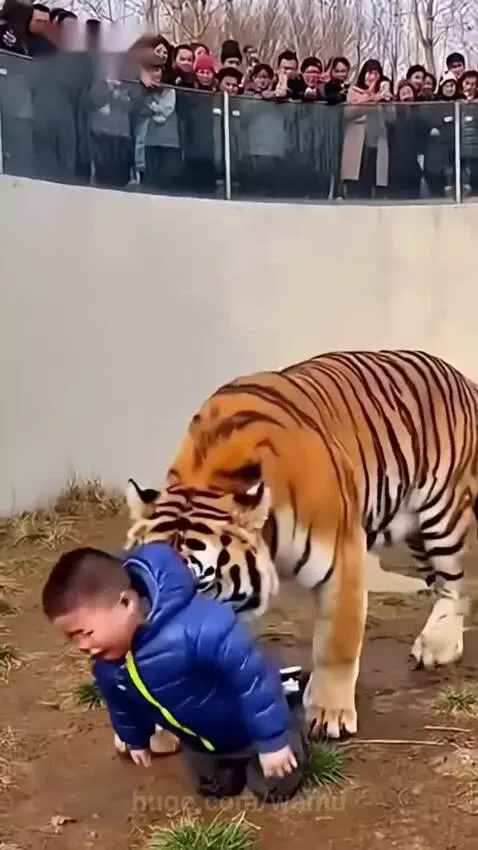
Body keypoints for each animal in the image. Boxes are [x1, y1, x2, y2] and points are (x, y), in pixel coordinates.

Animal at [124, 349, 478, 743]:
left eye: (199, 584)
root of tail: (460, 376)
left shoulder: (343, 559)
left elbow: (336, 645)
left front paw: (329, 714)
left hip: (443, 516)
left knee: (456, 582)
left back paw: (438, 646)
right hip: (403, 540)